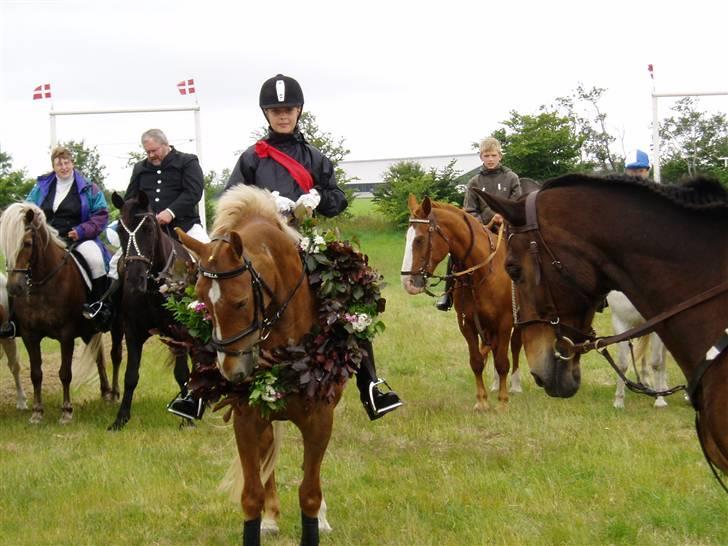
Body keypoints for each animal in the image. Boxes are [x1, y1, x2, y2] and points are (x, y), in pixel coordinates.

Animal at [0, 203, 122, 420]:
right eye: (5, 246)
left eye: (28, 243)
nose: (15, 288)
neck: (43, 285)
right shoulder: (30, 336)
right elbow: (36, 373)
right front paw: (37, 412)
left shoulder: (66, 334)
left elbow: (65, 373)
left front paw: (66, 411)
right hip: (89, 331)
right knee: (99, 357)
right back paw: (105, 393)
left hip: (118, 325)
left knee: (115, 355)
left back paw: (115, 394)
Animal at [106, 191, 195, 430]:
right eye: (120, 230)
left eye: (147, 228)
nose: (135, 279)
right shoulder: (132, 332)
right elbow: (130, 376)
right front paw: (120, 418)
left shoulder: (180, 331)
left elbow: (181, 373)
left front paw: (187, 418)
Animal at [178, 185, 344, 544]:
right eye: (202, 300)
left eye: (241, 302)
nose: (232, 372)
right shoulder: (247, 420)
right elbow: (251, 495)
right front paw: (263, 516)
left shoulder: (320, 420)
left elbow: (310, 493)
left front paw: (318, 517)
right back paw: (271, 518)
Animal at [400, 196, 520, 408]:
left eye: (420, 239)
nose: (407, 282)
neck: (480, 272)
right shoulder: (466, 323)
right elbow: (476, 361)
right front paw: (482, 401)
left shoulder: (505, 322)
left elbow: (502, 361)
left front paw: (503, 401)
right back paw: (496, 384)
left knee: (514, 348)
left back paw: (514, 386)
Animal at [474, 173, 724, 472]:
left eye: (512, 269)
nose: (538, 374)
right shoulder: (624, 321)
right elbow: (627, 362)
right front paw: (621, 400)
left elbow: (655, 362)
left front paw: (659, 398)